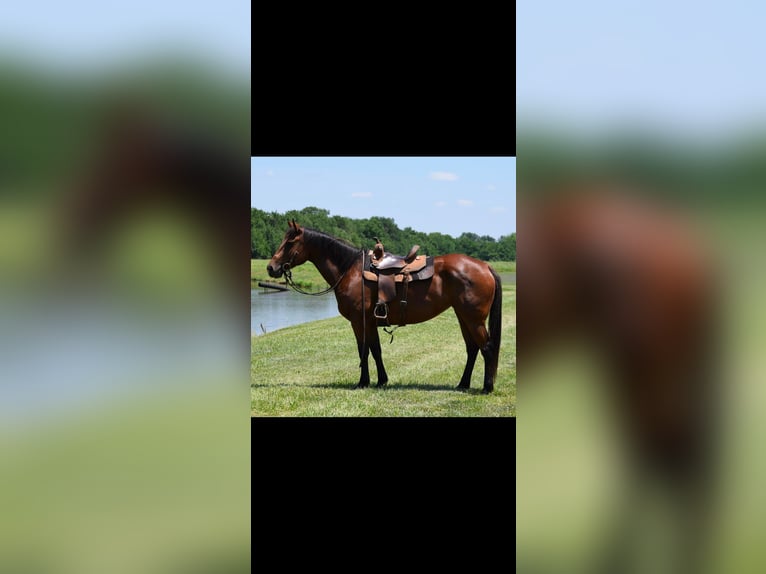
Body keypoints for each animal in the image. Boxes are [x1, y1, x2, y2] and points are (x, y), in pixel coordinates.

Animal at [266, 221, 503, 392]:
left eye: (289, 243)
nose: (271, 267)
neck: (350, 269)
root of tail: (485, 266)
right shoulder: (371, 322)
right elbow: (376, 350)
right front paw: (381, 381)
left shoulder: (359, 322)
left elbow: (363, 350)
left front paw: (363, 382)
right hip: (463, 317)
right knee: (472, 349)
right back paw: (463, 384)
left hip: (473, 319)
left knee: (487, 348)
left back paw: (487, 387)